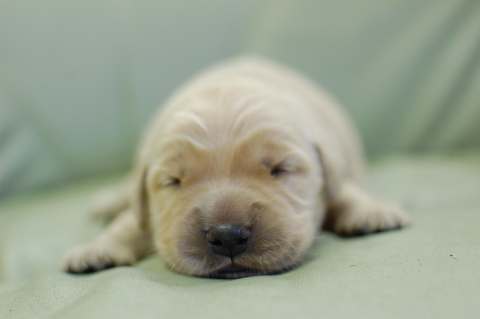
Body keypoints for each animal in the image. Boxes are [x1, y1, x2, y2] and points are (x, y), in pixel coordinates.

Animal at [62, 58, 410, 280]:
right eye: (173, 181)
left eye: (281, 169)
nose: (227, 236)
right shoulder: (152, 207)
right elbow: (132, 221)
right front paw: (96, 249)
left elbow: (344, 190)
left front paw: (371, 212)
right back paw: (106, 202)